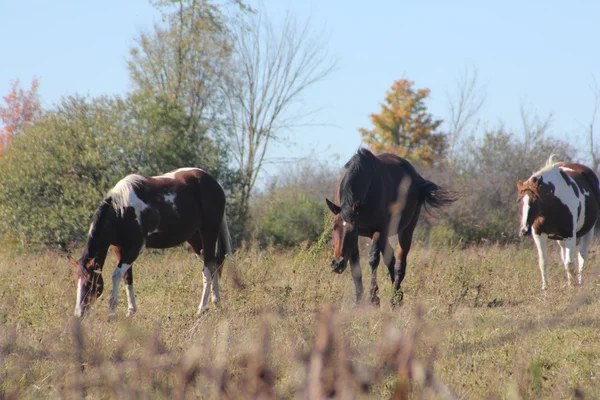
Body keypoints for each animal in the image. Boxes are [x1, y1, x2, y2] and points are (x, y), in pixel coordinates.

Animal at [69, 167, 231, 318]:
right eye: (75, 282)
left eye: (89, 283)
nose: (78, 313)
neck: (120, 211)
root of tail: (214, 183)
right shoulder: (119, 249)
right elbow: (127, 277)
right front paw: (131, 311)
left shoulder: (135, 248)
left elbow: (116, 275)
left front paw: (112, 312)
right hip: (195, 241)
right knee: (214, 264)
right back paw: (216, 302)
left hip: (208, 233)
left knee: (208, 269)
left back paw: (201, 308)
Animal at [326, 148, 458, 304]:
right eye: (333, 228)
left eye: (352, 230)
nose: (337, 264)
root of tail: (417, 179)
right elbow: (355, 264)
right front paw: (358, 300)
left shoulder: (378, 231)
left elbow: (373, 259)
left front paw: (374, 298)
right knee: (391, 259)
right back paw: (398, 298)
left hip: (406, 230)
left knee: (400, 264)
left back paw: (394, 299)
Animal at [516, 157, 600, 290]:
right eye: (519, 201)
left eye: (535, 201)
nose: (524, 230)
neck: (554, 201)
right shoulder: (539, 234)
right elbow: (543, 261)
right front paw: (545, 288)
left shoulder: (570, 235)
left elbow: (570, 263)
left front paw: (571, 286)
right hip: (560, 239)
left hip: (588, 231)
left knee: (582, 256)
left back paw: (579, 282)